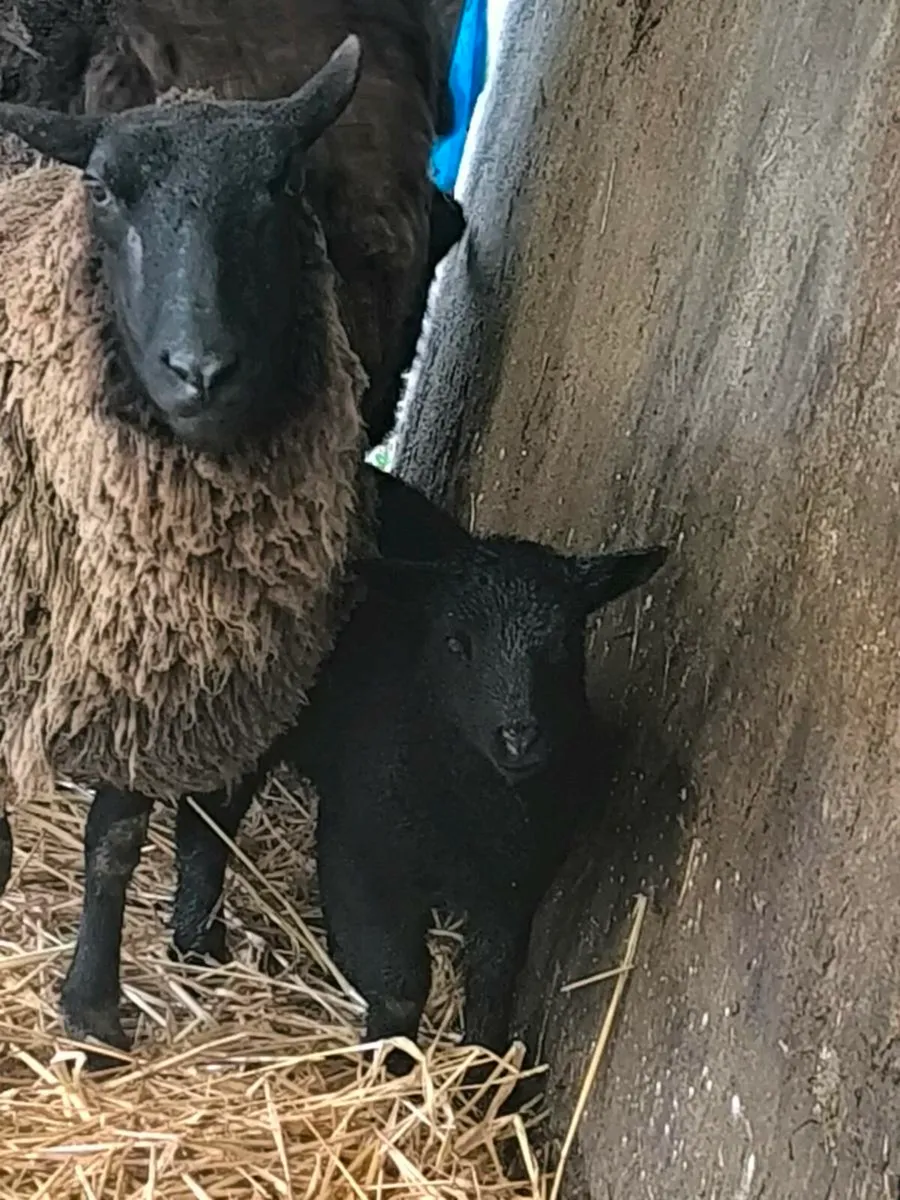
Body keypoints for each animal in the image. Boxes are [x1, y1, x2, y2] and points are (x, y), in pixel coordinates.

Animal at [0, 35, 373, 1060]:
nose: (200, 371)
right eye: (101, 188)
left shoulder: (167, 674)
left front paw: (102, 1004)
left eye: (283, 182)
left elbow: (126, 837)